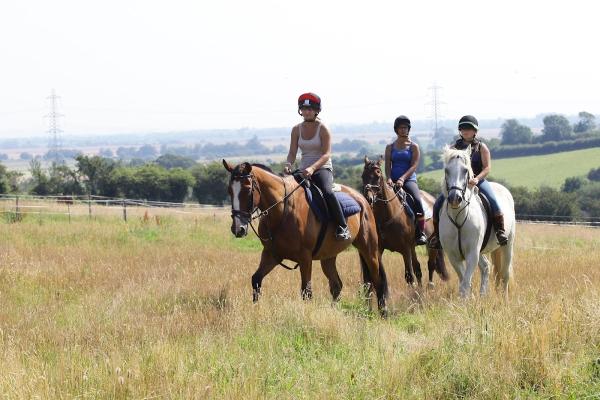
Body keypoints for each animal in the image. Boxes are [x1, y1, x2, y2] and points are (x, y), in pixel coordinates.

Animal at [221, 161, 390, 314]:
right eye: (229, 190)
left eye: (247, 189)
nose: (238, 229)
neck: (283, 210)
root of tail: (362, 200)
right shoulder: (272, 255)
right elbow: (256, 280)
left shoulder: (305, 258)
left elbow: (306, 292)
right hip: (328, 257)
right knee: (336, 285)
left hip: (369, 250)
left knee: (378, 281)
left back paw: (384, 313)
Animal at [358, 158, 448, 286]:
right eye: (363, 176)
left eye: (378, 175)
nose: (368, 198)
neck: (387, 215)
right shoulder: (379, 249)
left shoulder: (405, 250)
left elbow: (409, 276)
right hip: (413, 247)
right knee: (418, 267)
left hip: (430, 245)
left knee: (431, 264)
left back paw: (430, 285)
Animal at [438, 146, 516, 296]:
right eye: (446, 170)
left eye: (465, 170)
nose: (455, 198)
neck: (458, 216)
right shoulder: (453, 256)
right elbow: (463, 280)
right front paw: (470, 298)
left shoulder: (472, 253)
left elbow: (465, 283)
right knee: (486, 267)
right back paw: (483, 295)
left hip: (507, 245)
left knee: (505, 274)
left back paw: (504, 298)